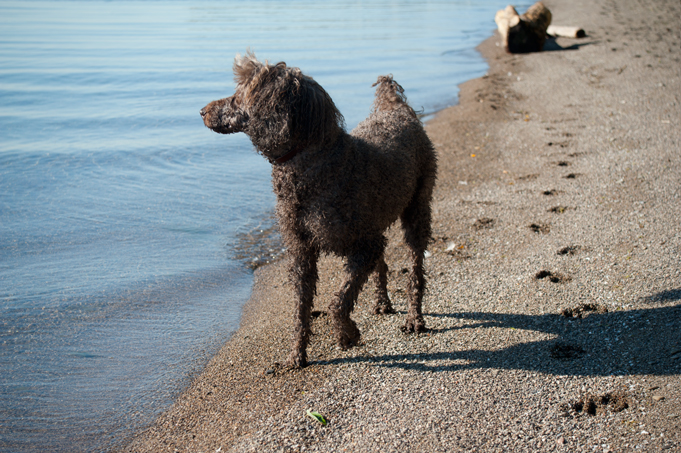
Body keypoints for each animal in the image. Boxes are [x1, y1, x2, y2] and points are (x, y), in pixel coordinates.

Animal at [201, 51, 436, 368]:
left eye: (238, 97)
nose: (202, 111)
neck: (309, 162)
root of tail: (397, 110)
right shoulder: (302, 251)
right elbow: (300, 310)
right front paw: (295, 356)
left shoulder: (364, 244)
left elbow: (338, 301)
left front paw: (347, 333)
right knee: (384, 264)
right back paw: (382, 303)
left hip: (417, 207)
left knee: (415, 269)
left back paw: (414, 318)